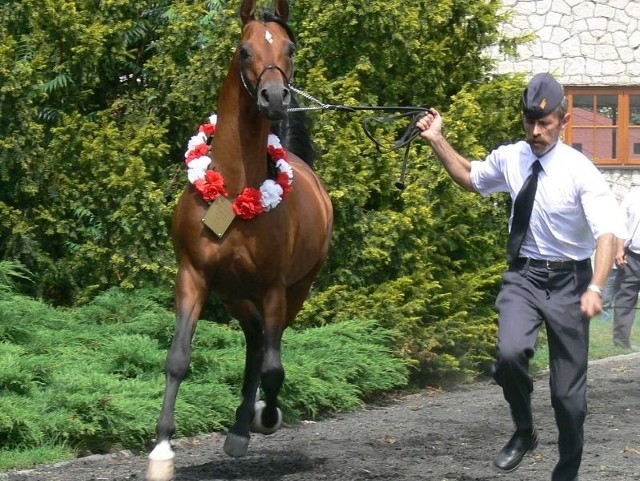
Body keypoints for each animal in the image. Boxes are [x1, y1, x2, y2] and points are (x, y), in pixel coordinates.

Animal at [146, 1, 336, 478]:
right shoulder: (193, 276)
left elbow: (274, 368)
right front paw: (162, 450)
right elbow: (178, 358)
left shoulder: (273, 289)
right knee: (253, 340)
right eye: (244, 50)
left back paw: (250, 423)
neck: (232, 190)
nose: (275, 98)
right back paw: (237, 430)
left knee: (267, 348)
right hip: (233, 292)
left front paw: (266, 417)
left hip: (295, 290)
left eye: (290, 48)